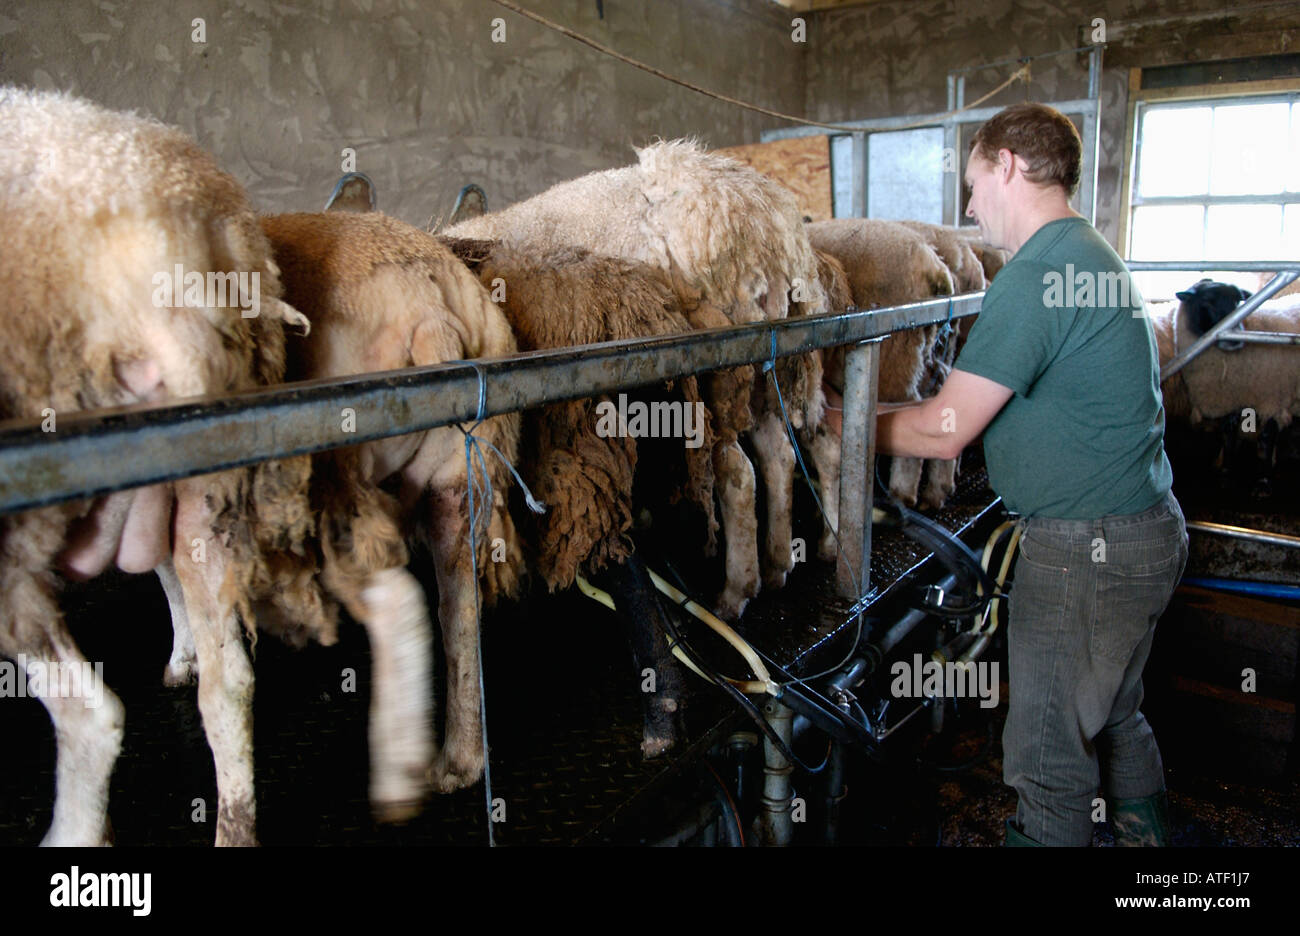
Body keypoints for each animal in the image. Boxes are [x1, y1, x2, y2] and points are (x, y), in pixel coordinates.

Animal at [447, 139, 821, 618]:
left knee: (738, 475)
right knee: (779, 455)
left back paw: (735, 591)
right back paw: (777, 564)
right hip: (761, 365)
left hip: (719, 369)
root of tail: (766, 224)